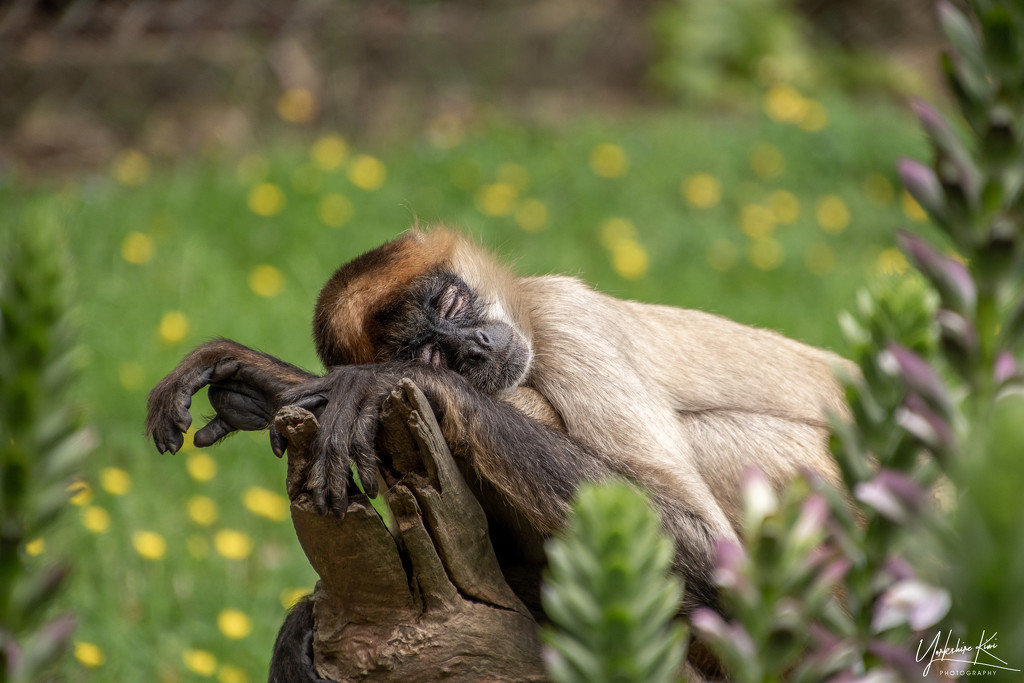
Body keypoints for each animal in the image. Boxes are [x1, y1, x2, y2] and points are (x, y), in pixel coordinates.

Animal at [144, 227, 847, 679]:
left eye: (453, 304)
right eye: (432, 349)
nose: (477, 348)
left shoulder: (568, 316)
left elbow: (707, 547)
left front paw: (380, 383)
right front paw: (268, 384)